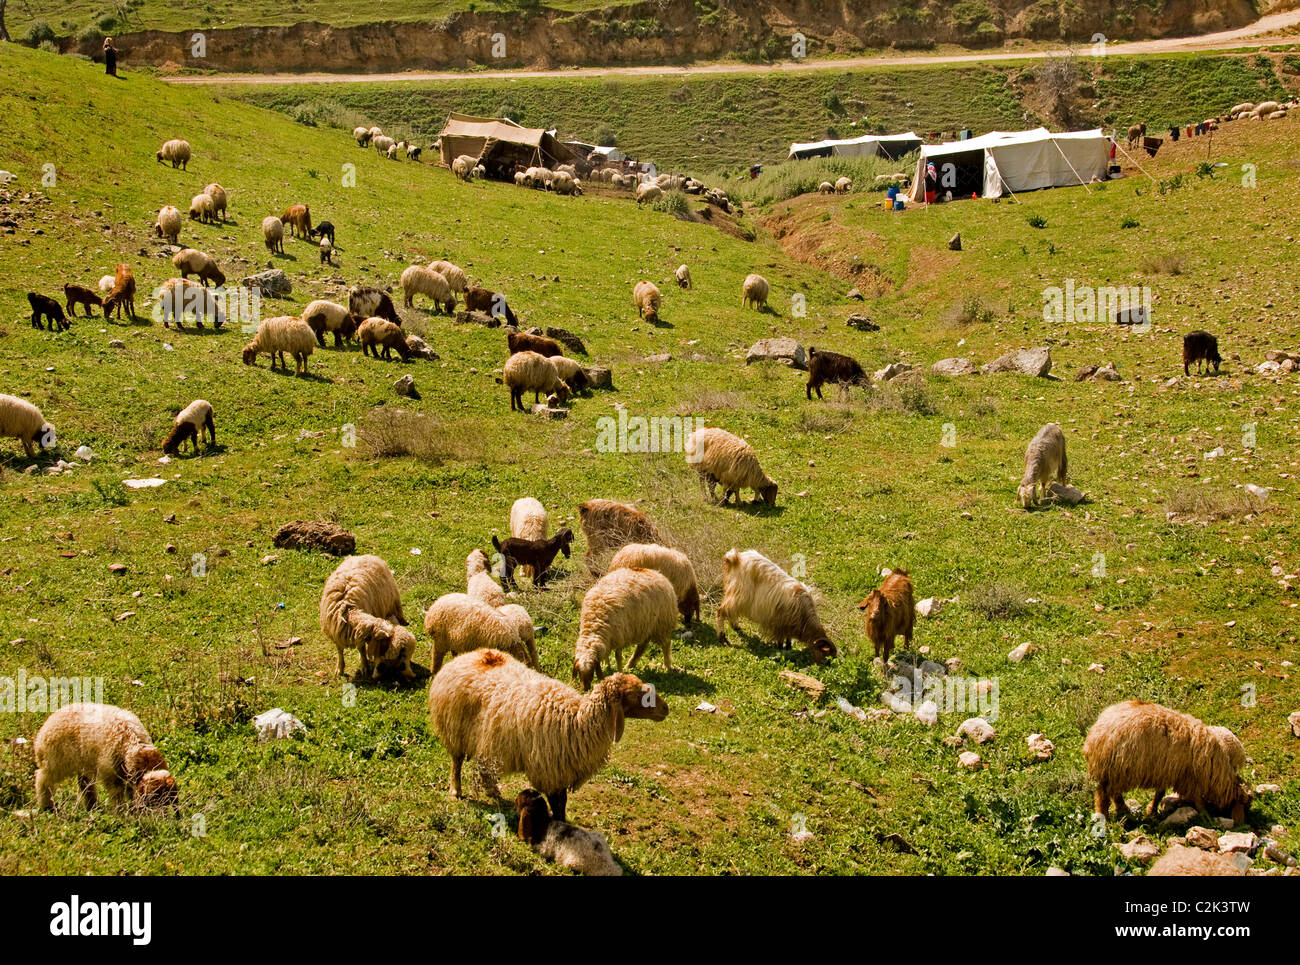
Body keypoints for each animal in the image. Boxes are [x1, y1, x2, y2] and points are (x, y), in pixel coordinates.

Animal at [33, 707, 178, 811]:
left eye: (170, 800)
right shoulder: (111, 775)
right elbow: (117, 796)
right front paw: (121, 813)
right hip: (55, 761)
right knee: (43, 779)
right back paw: (46, 806)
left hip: (83, 764)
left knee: (85, 785)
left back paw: (93, 807)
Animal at [319, 556, 416, 686]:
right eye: (402, 657)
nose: (413, 677)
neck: (347, 612)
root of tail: (366, 556)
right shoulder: (335, 631)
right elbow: (340, 650)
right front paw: (340, 668)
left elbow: (361, 649)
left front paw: (364, 666)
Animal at [431, 645, 670, 821]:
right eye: (638, 694)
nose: (666, 709)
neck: (578, 721)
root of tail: (468, 656)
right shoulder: (550, 772)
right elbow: (558, 805)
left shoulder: (562, 771)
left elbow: (562, 805)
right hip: (455, 729)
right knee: (457, 762)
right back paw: (456, 790)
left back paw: (493, 792)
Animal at [577, 567, 681, 697]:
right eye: (579, 673)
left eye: (591, 672)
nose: (584, 690)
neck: (595, 621)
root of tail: (658, 574)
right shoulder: (609, 638)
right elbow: (607, 655)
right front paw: (608, 666)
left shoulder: (618, 636)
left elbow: (618, 656)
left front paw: (619, 672)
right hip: (647, 626)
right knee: (641, 647)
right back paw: (631, 664)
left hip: (661, 625)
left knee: (666, 645)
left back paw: (667, 666)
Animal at [1076, 697, 1248, 827]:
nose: (1242, 823)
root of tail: (1097, 730)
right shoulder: (1190, 779)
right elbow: (1197, 800)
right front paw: (1205, 814)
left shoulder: (1166, 772)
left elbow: (1160, 793)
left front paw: (1151, 810)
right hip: (1113, 769)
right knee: (1102, 794)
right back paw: (1104, 815)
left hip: (1116, 772)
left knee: (1113, 793)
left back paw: (1124, 810)